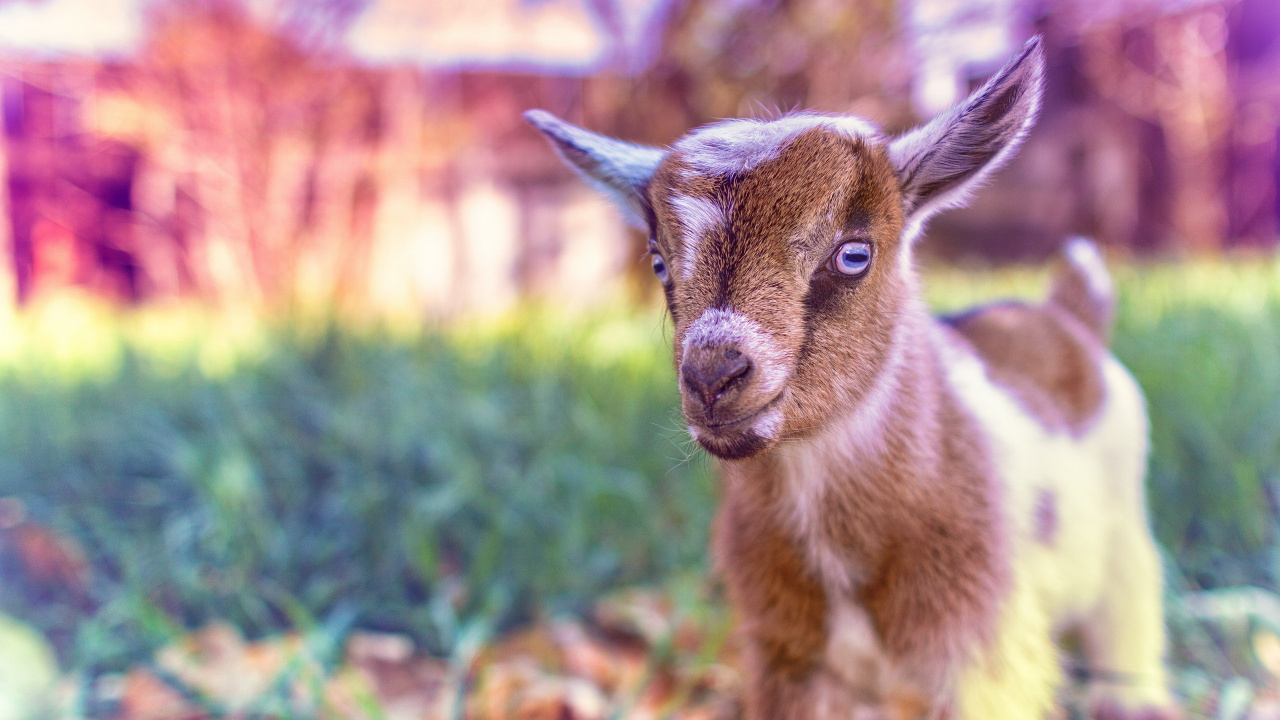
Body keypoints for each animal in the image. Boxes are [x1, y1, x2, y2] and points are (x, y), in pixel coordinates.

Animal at [526, 37, 1178, 720]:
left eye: (854, 254)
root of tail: (1067, 315)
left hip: (1126, 538)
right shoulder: (786, 655)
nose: (712, 377)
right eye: (658, 262)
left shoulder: (983, 654)